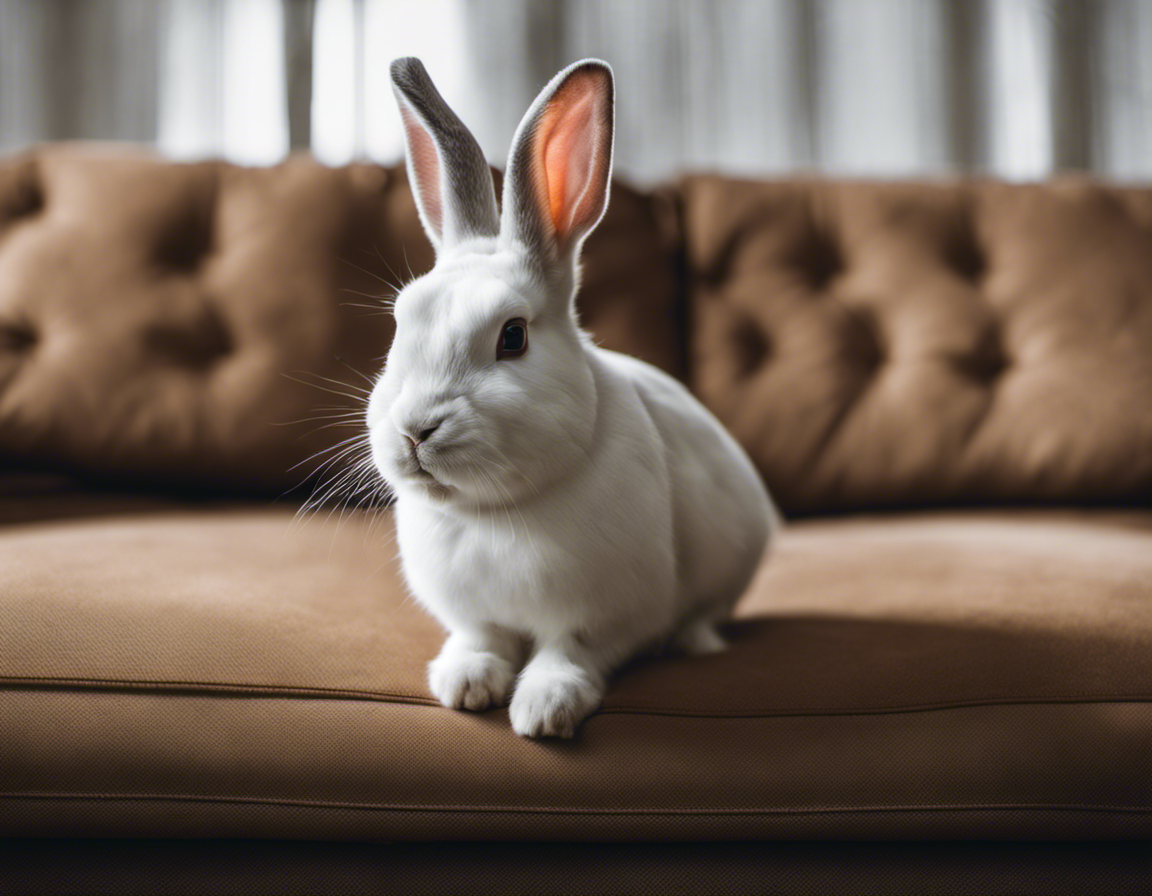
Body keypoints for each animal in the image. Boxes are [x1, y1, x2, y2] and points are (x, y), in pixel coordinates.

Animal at [366, 56, 778, 738]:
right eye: (401, 321)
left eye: (513, 336)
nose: (415, 431)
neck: (496, 511)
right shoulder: (476, 614)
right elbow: (481, 641)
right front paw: (465, 684)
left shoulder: (607, 615)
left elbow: (570, 652)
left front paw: (544, 710)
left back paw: (691, 639)